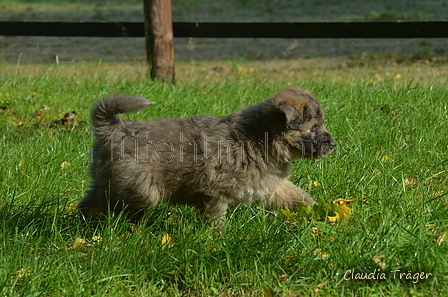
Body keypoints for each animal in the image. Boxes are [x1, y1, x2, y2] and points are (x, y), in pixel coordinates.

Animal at [78, 86, 336, 223]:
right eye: (314, 127)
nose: (334, 144)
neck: (258, 137)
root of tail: (115, 129)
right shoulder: (216, 193)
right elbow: (215, 218)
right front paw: (216, 240)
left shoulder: (272, 185)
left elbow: (298, 195)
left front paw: (321, 211)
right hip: (141, 189)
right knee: (112, 202)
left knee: (90, 201)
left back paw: (85, 222)